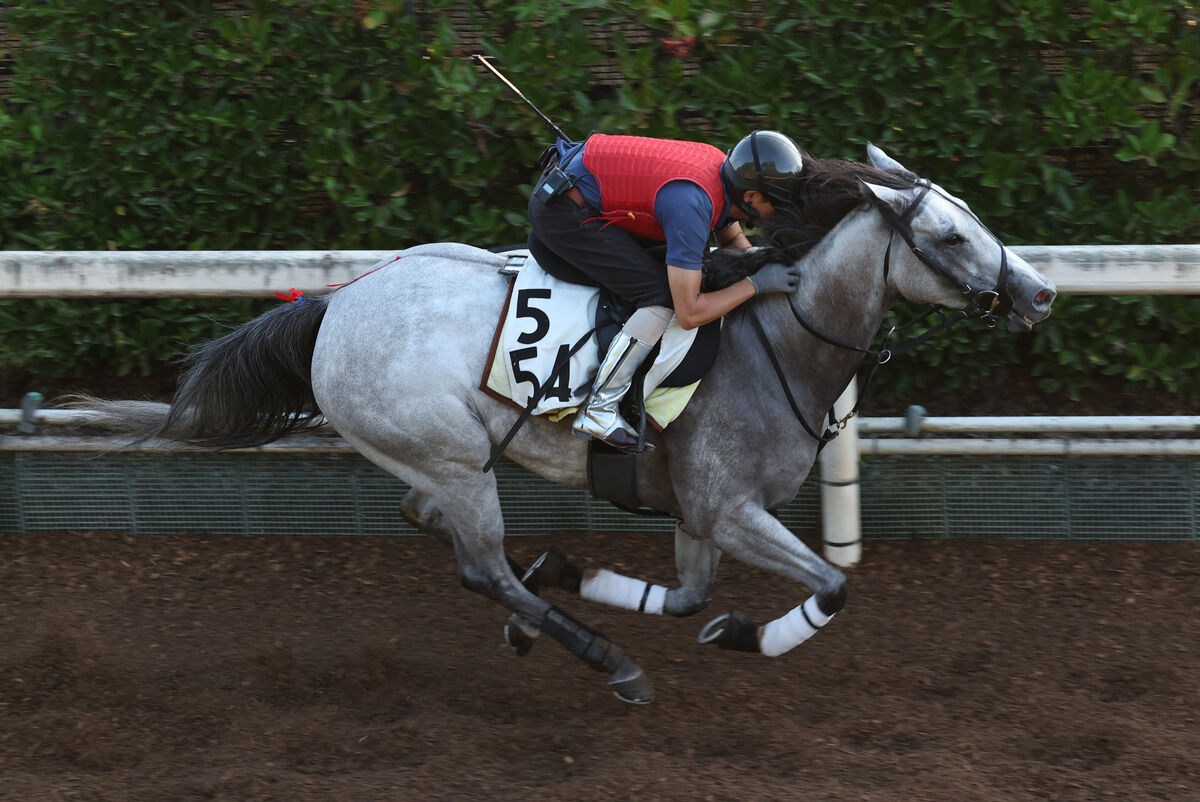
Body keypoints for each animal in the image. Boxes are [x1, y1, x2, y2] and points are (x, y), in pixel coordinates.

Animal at [82, 144, 1060, 701]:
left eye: (973, 219)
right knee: (478, 568)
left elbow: (691, 597)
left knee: (431, 522)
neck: (779, 343)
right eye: (951, 236)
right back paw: (604, 659)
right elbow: (831, 586)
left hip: (449, 457)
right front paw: (749, 633)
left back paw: (535, 605)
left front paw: (580, 573)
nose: (1041, 292)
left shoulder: (698, 511)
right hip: (455, 459)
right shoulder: (730, 507)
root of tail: (332, 307)